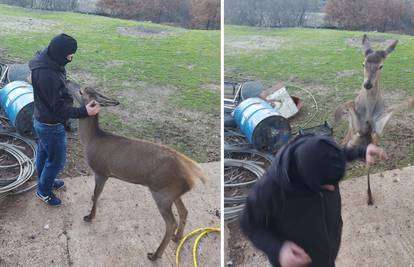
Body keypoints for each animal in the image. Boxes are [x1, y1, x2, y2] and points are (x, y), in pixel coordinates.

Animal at [67, 82, 207, 262]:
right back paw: (177, 238)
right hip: (172, 193)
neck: (91, 141)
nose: (67, 81)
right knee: (184, 211)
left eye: (81, 91)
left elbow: (96, 194)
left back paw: (155, 254)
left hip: (162, 193)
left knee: (171, 223)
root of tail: (191, 176)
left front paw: (89, 216)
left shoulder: (101, 171)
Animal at [336, 33, 414, 205]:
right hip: (348, 137)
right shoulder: (356, 125)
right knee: (342, 144)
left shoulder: (378, 128)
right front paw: (336, 113)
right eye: (363, 63)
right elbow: (349, 104)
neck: (369, 111)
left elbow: (395, 107)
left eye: (381, 66)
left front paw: (369, 196)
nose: (367, 85)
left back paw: (369, 195)